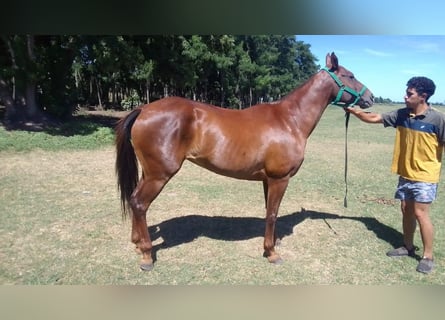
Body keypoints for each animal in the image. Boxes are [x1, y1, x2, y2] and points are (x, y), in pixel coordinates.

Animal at [115, 52, 374, 270]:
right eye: (349, 75)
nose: (370, 97)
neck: (290, 120)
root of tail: (144, 109)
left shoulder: (268, 180)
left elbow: (269, 212)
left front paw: (271, 246)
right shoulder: (280, 179)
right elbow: (272, 214)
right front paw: (272, 253)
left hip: (149, 173)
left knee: (134, 200)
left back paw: (137, 242)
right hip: (159, 175)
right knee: (140, 203)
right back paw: (147, 255)